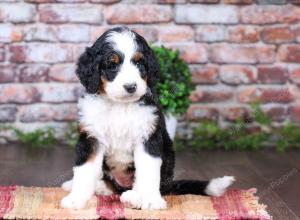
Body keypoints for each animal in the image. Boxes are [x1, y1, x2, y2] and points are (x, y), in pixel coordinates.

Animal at [60, 26, 234, 211]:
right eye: (112, 64)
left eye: (139, 63)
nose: (131, 87)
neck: (120, 106)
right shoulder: (91, 137)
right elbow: (84, 171)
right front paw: (75, 199)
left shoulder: (149, 137)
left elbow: (148, 172)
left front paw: (151, 200)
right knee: (108, 183)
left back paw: (133, 198)